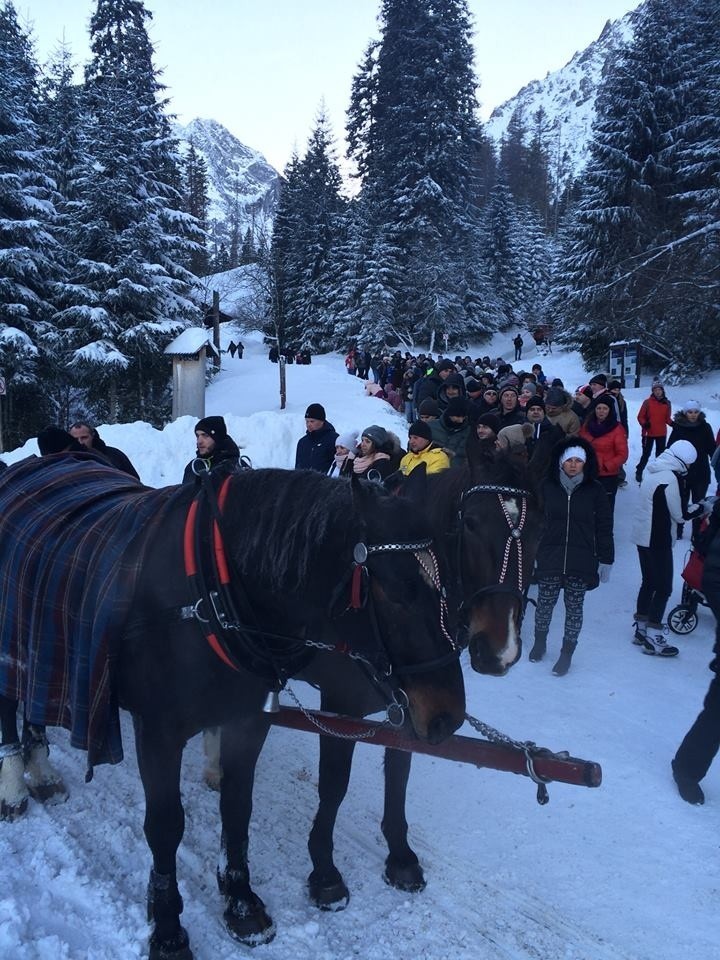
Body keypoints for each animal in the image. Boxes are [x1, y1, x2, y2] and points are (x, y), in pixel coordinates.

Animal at [0, 460, 464, 960]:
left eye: (447, 584)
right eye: (398, 592)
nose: (449, 715)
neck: (210, 595)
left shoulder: (249, 718)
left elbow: (238, 808)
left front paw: (241, 903)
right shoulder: (158, 732)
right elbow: (165, 826)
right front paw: (168, 928)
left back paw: (42, 770)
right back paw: (17, 787)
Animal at [205, 450, 548, 936]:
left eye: (540, 530)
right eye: (472, 522)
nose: (501, 650)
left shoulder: (411, 704)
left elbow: (399, 772)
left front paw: (399, 855)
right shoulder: (341, 704)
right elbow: (334, 785)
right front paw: (325, 872)